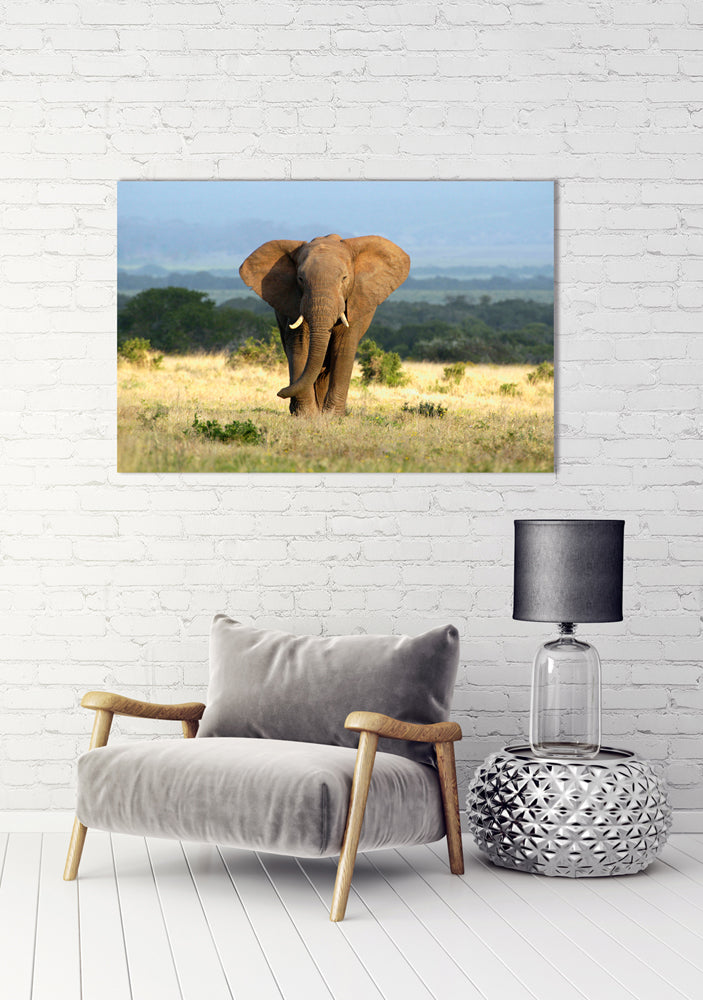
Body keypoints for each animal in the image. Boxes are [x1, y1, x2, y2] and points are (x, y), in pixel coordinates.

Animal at [239, 233, 410, 415]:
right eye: (300, 279)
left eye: (344, 278)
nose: (280, 392)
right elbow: (300, 346)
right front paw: (307, 415)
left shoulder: (355, 301)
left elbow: (343, 349)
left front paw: (332, 416)